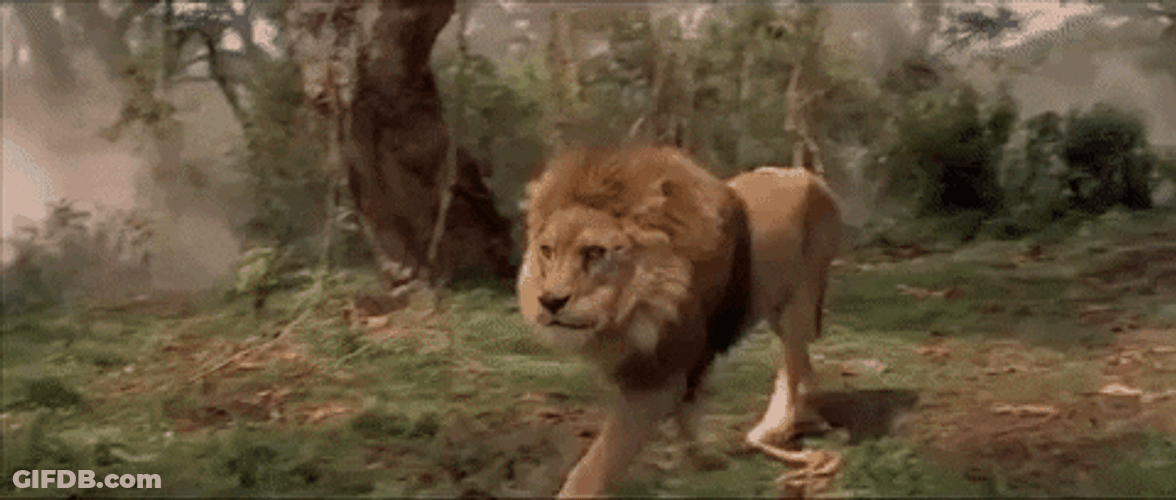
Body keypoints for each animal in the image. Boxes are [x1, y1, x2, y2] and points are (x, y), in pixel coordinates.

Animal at [517, 147, 842, 497]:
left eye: (594, 252)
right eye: (547, 250)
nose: (550, 301)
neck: (629, 309)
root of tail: (808, 175)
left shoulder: (657, 382)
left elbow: (594, 466)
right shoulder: (676, 365)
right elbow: (686, 417)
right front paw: (700, 465)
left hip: (800, 299)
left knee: (792, 361)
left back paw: (774, 429)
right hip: (777, 310)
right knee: (801, 359)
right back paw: (808, 419)